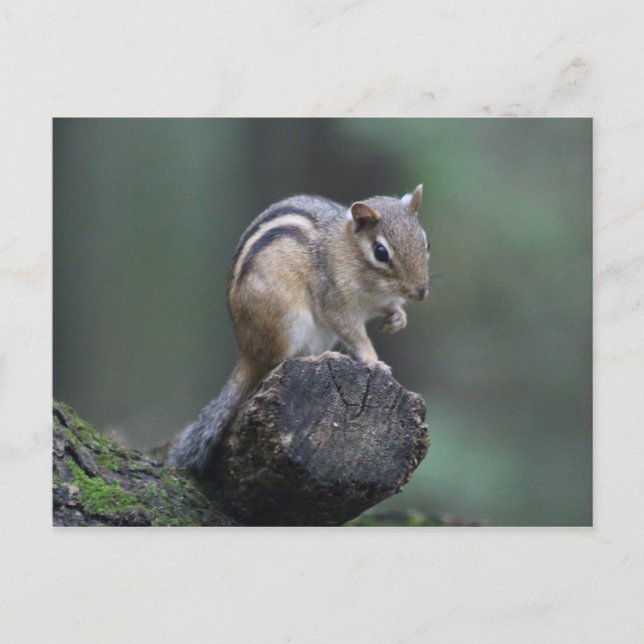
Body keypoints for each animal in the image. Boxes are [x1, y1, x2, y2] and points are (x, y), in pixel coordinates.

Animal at [169, 185, 430, 477]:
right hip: (286, 319)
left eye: (426, 243)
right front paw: (373, 360)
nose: (420, 292)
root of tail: (247, 351)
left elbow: (388, 310)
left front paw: (397, 319)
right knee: (280, 359)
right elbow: (352, 332)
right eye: (381, 252)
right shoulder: (334, 299)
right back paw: (321, 358)